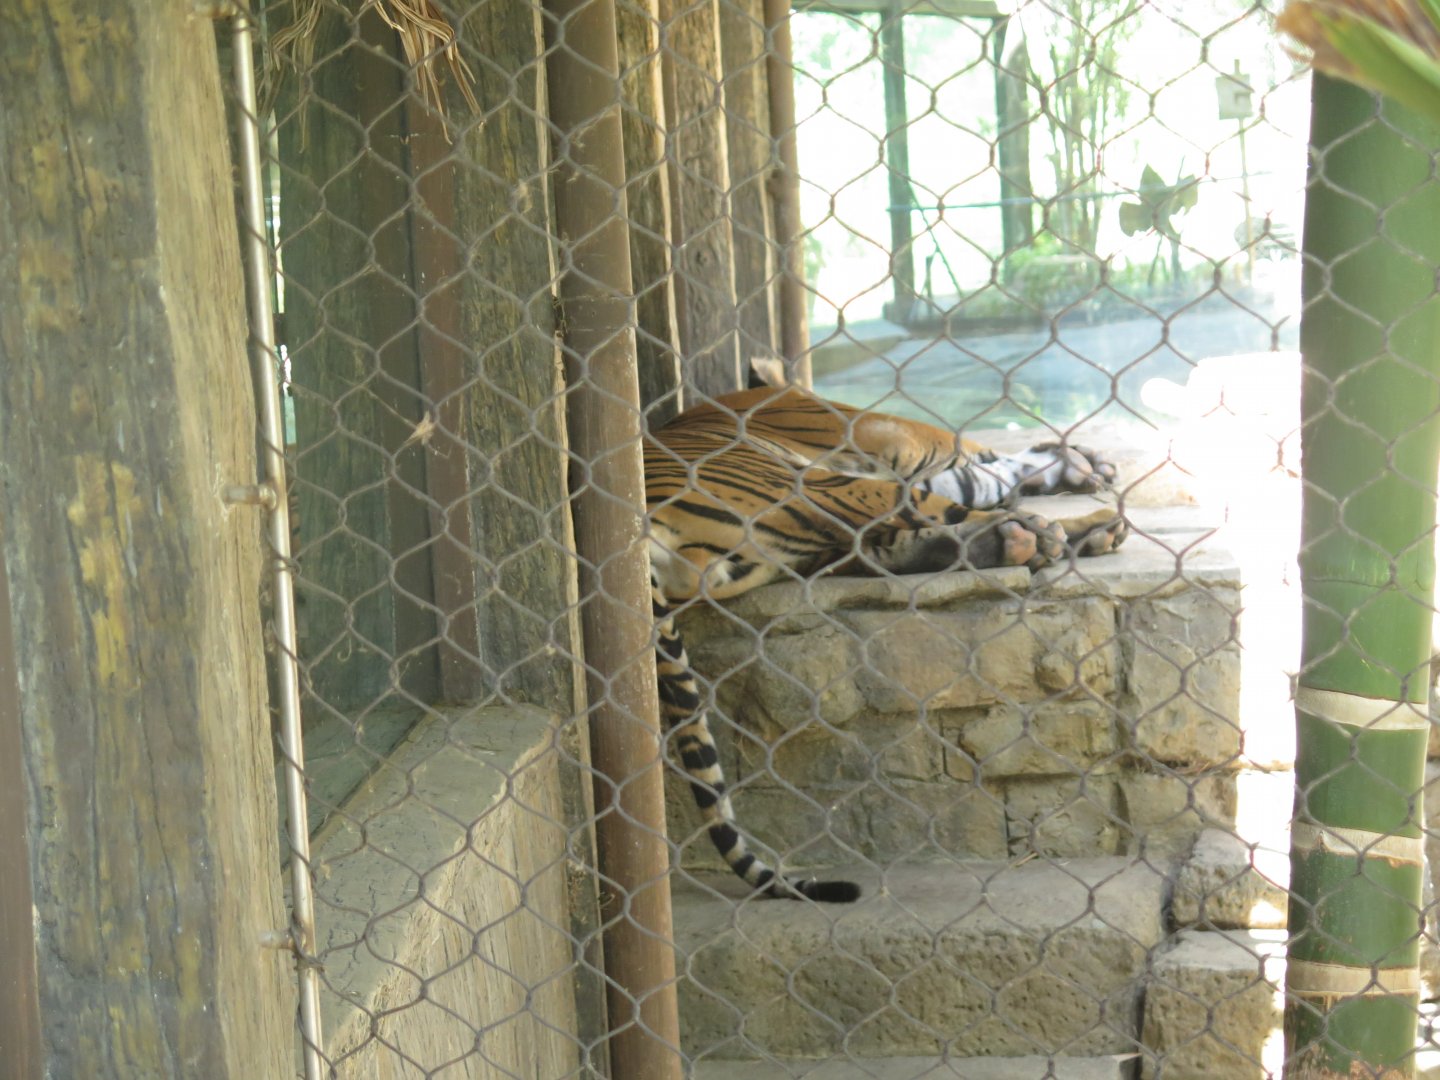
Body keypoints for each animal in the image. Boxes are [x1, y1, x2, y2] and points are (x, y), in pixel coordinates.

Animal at [645, 385, 1129, 903]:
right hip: (813, 488)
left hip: (798, 545)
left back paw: (1034, 534)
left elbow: (976, 479)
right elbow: (974, 474)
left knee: (894, 545)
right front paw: (1074, 468)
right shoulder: (899, 442)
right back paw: (1058, 531)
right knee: (939, 513)